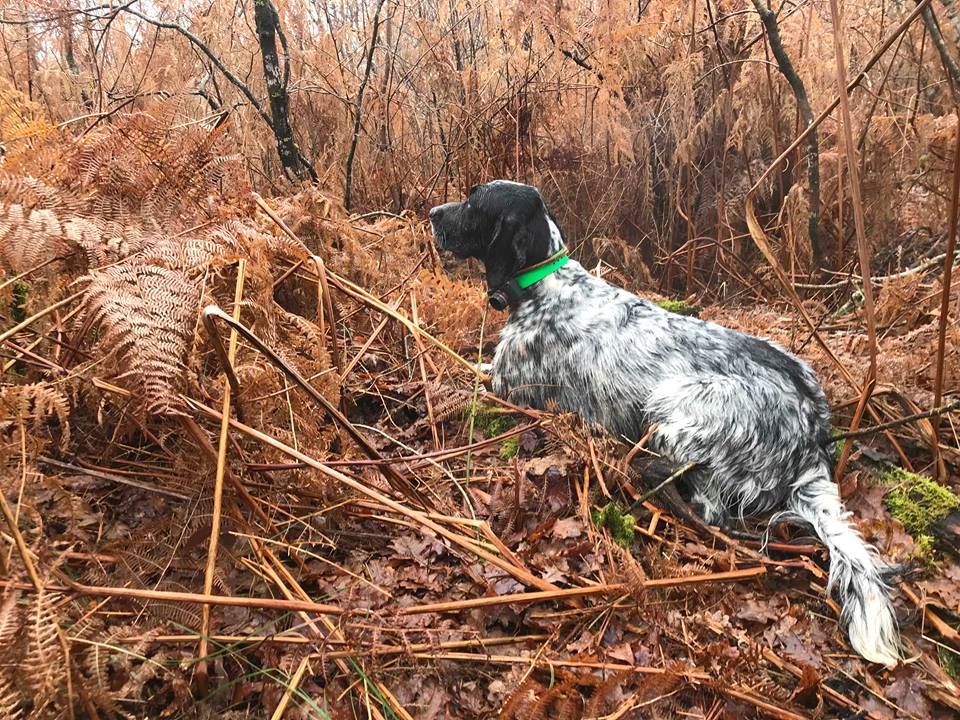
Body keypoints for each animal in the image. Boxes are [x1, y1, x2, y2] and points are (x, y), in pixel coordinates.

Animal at [429, 179, 901, 668]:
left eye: (474, 202)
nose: (432, 214)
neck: (546, 285)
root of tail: (813, 431)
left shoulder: (506, 386)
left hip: (674, 402)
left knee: (707, 506)